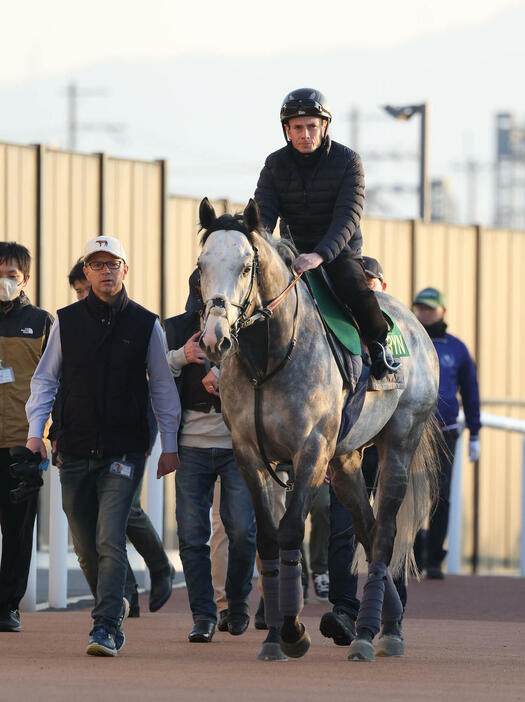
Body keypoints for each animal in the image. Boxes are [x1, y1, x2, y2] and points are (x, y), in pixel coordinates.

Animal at [196, 199, 438, 664]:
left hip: (398, 443)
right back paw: (387, 627)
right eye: (201, 266)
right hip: (345, 462)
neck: (269, 359)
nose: (215, 339)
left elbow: (291, 531)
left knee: (384, 534)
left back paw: (368, 636)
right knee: (368, 530)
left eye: (246, 266)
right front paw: (274, 637)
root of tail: (417, 328)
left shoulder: (310, 451)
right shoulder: (250, 455)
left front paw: (292, 632)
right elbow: (268, 540)